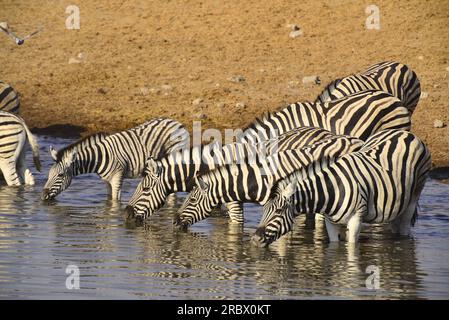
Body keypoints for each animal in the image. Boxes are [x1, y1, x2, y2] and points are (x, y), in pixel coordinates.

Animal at [41, 119, 188, 201]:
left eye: (60, 175)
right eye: (48, 174)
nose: (42, 196)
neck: (99, 157)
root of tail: (177, 123)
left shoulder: (118, 177)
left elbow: (115, 200)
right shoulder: (107, 180)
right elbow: (109, 199)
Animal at [252, 130, 430, 248]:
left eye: (278, 211)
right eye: (263, 210)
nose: (254, 240)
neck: (331, 189)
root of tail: (405, 133)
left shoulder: (356, 220)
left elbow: (351, 248)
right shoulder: (331, 222)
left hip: (416, 192)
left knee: (405, 226)